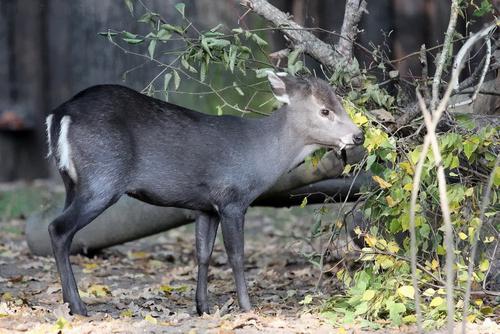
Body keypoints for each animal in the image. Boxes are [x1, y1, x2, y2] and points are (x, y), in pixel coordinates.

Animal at [45, 72, 364, 316]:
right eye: (324, 110)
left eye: (338, 103)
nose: (358, 135)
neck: (259, 155)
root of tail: (59, 114)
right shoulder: (232, 198)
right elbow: (236, 255)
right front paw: (247, 307)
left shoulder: (205, 206)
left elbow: (203, 253)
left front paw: (203, 307)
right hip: (102, 180)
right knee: (58, 228)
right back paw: (78, 306)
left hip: (72, 183)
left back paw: (69, 303)